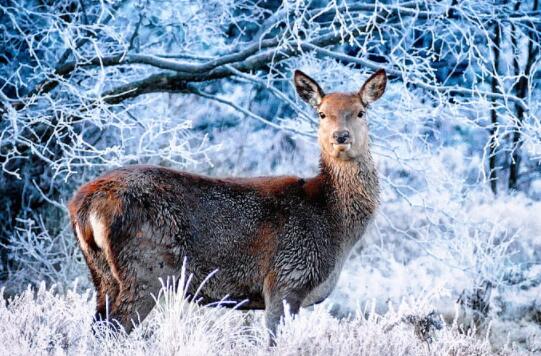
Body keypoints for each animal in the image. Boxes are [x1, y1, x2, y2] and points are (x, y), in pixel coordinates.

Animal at [67, 69, 386, 344]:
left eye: (361, 112)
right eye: (322, 113)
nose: (340, 137)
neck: (333, 222)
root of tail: (83, 204)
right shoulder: (286, 279)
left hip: (102, 275)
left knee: (96, 328)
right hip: (145, 269)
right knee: (113, 330)